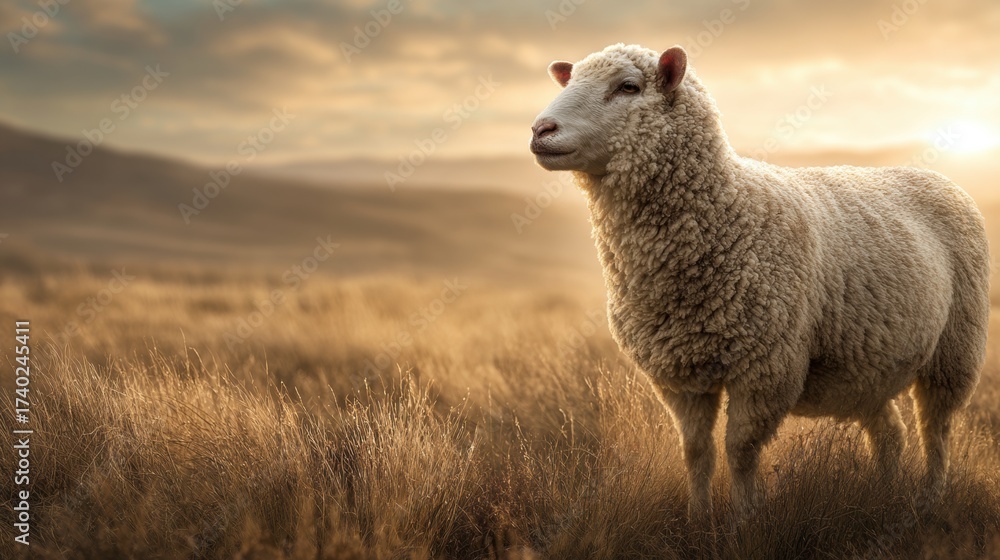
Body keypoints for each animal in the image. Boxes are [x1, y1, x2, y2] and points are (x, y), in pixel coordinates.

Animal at [529, 43, 990, 521]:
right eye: (570, 80)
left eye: (628, 87)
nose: (541, 129)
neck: (726, 212)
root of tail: (937, 177)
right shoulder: (679, 375)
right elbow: (696, 452)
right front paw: (699, 518)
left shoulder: (766, 370)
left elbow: (740, 451)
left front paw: (745, 521)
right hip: (868, 365)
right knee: (890, 433)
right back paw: (885, 494)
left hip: (955, 350)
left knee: (936, 429)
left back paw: (928, 500)